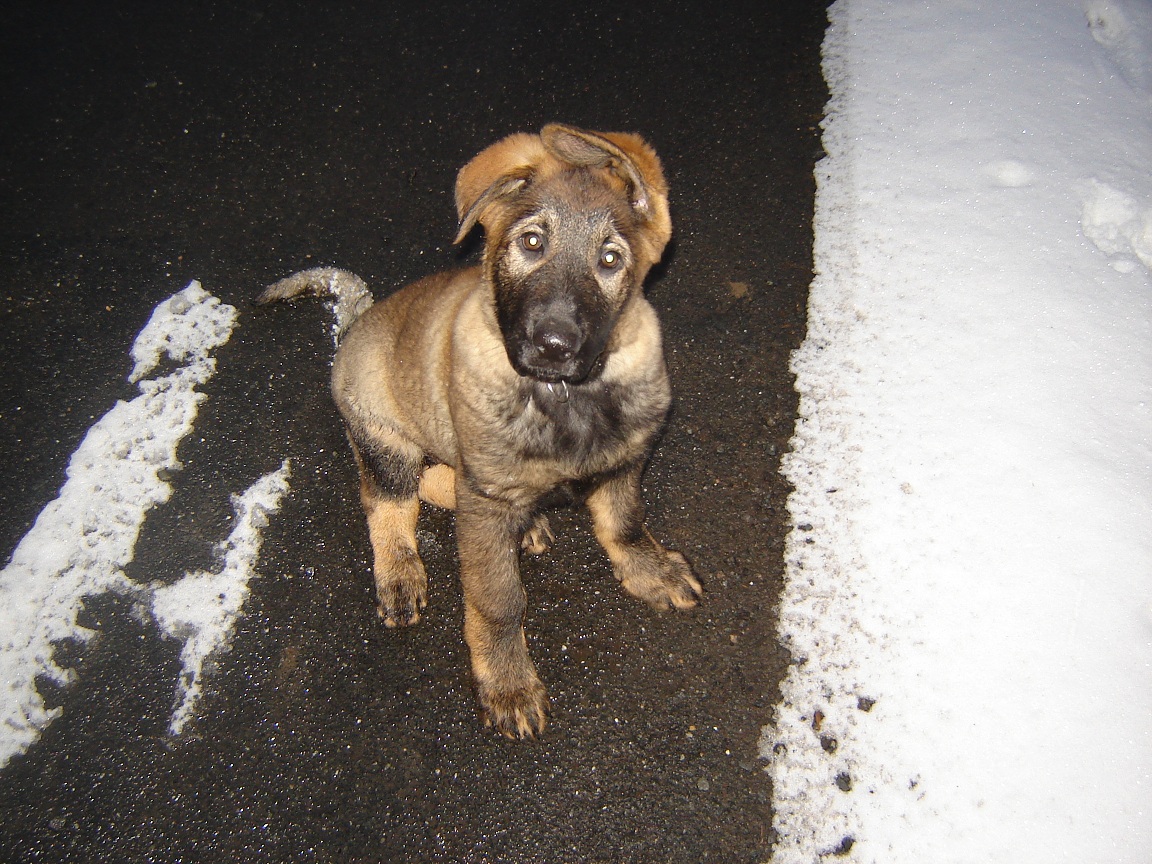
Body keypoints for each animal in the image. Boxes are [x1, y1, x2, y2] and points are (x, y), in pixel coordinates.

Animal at [259, 124, 700, 738]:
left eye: (611, 259)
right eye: (532, 243)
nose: (553, 346)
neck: (565, 399)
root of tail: (357, 325)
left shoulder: (624, 460)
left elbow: (625, 522)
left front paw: (649, 569)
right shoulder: (485, 495)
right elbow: (496, 600)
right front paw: (508, 682)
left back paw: (530, 522)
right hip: (386, 438)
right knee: (391, 502)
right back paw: (400, 573)